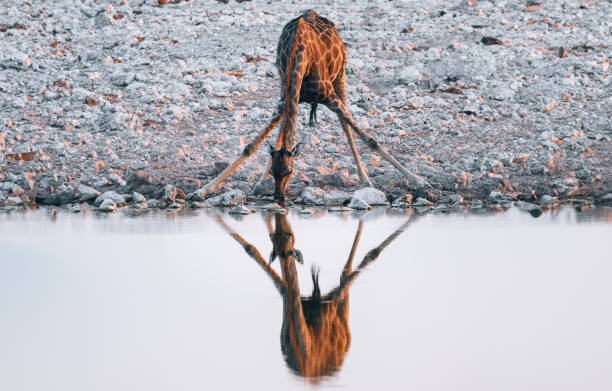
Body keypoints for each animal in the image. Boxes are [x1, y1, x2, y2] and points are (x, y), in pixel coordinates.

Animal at [198, 9, 428, 205]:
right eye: (274, 172)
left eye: (290, 171)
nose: (278, 198)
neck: (301, 61)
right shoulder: (285, 97)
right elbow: (251, 146)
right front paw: (202, 191)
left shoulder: (329, 96)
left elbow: (370, 139)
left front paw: (418, 181)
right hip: (284, 85)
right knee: (285, 127)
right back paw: (258, 183)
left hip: (340, 75)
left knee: (345, 125)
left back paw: (365, 179)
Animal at [213, 213, 418, 378]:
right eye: (281, 246)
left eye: (290, 239)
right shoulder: (286, 298)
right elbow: (254, 252)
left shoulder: (332, 300)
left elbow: (360, 264)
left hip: (342, 308)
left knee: (347, 271)